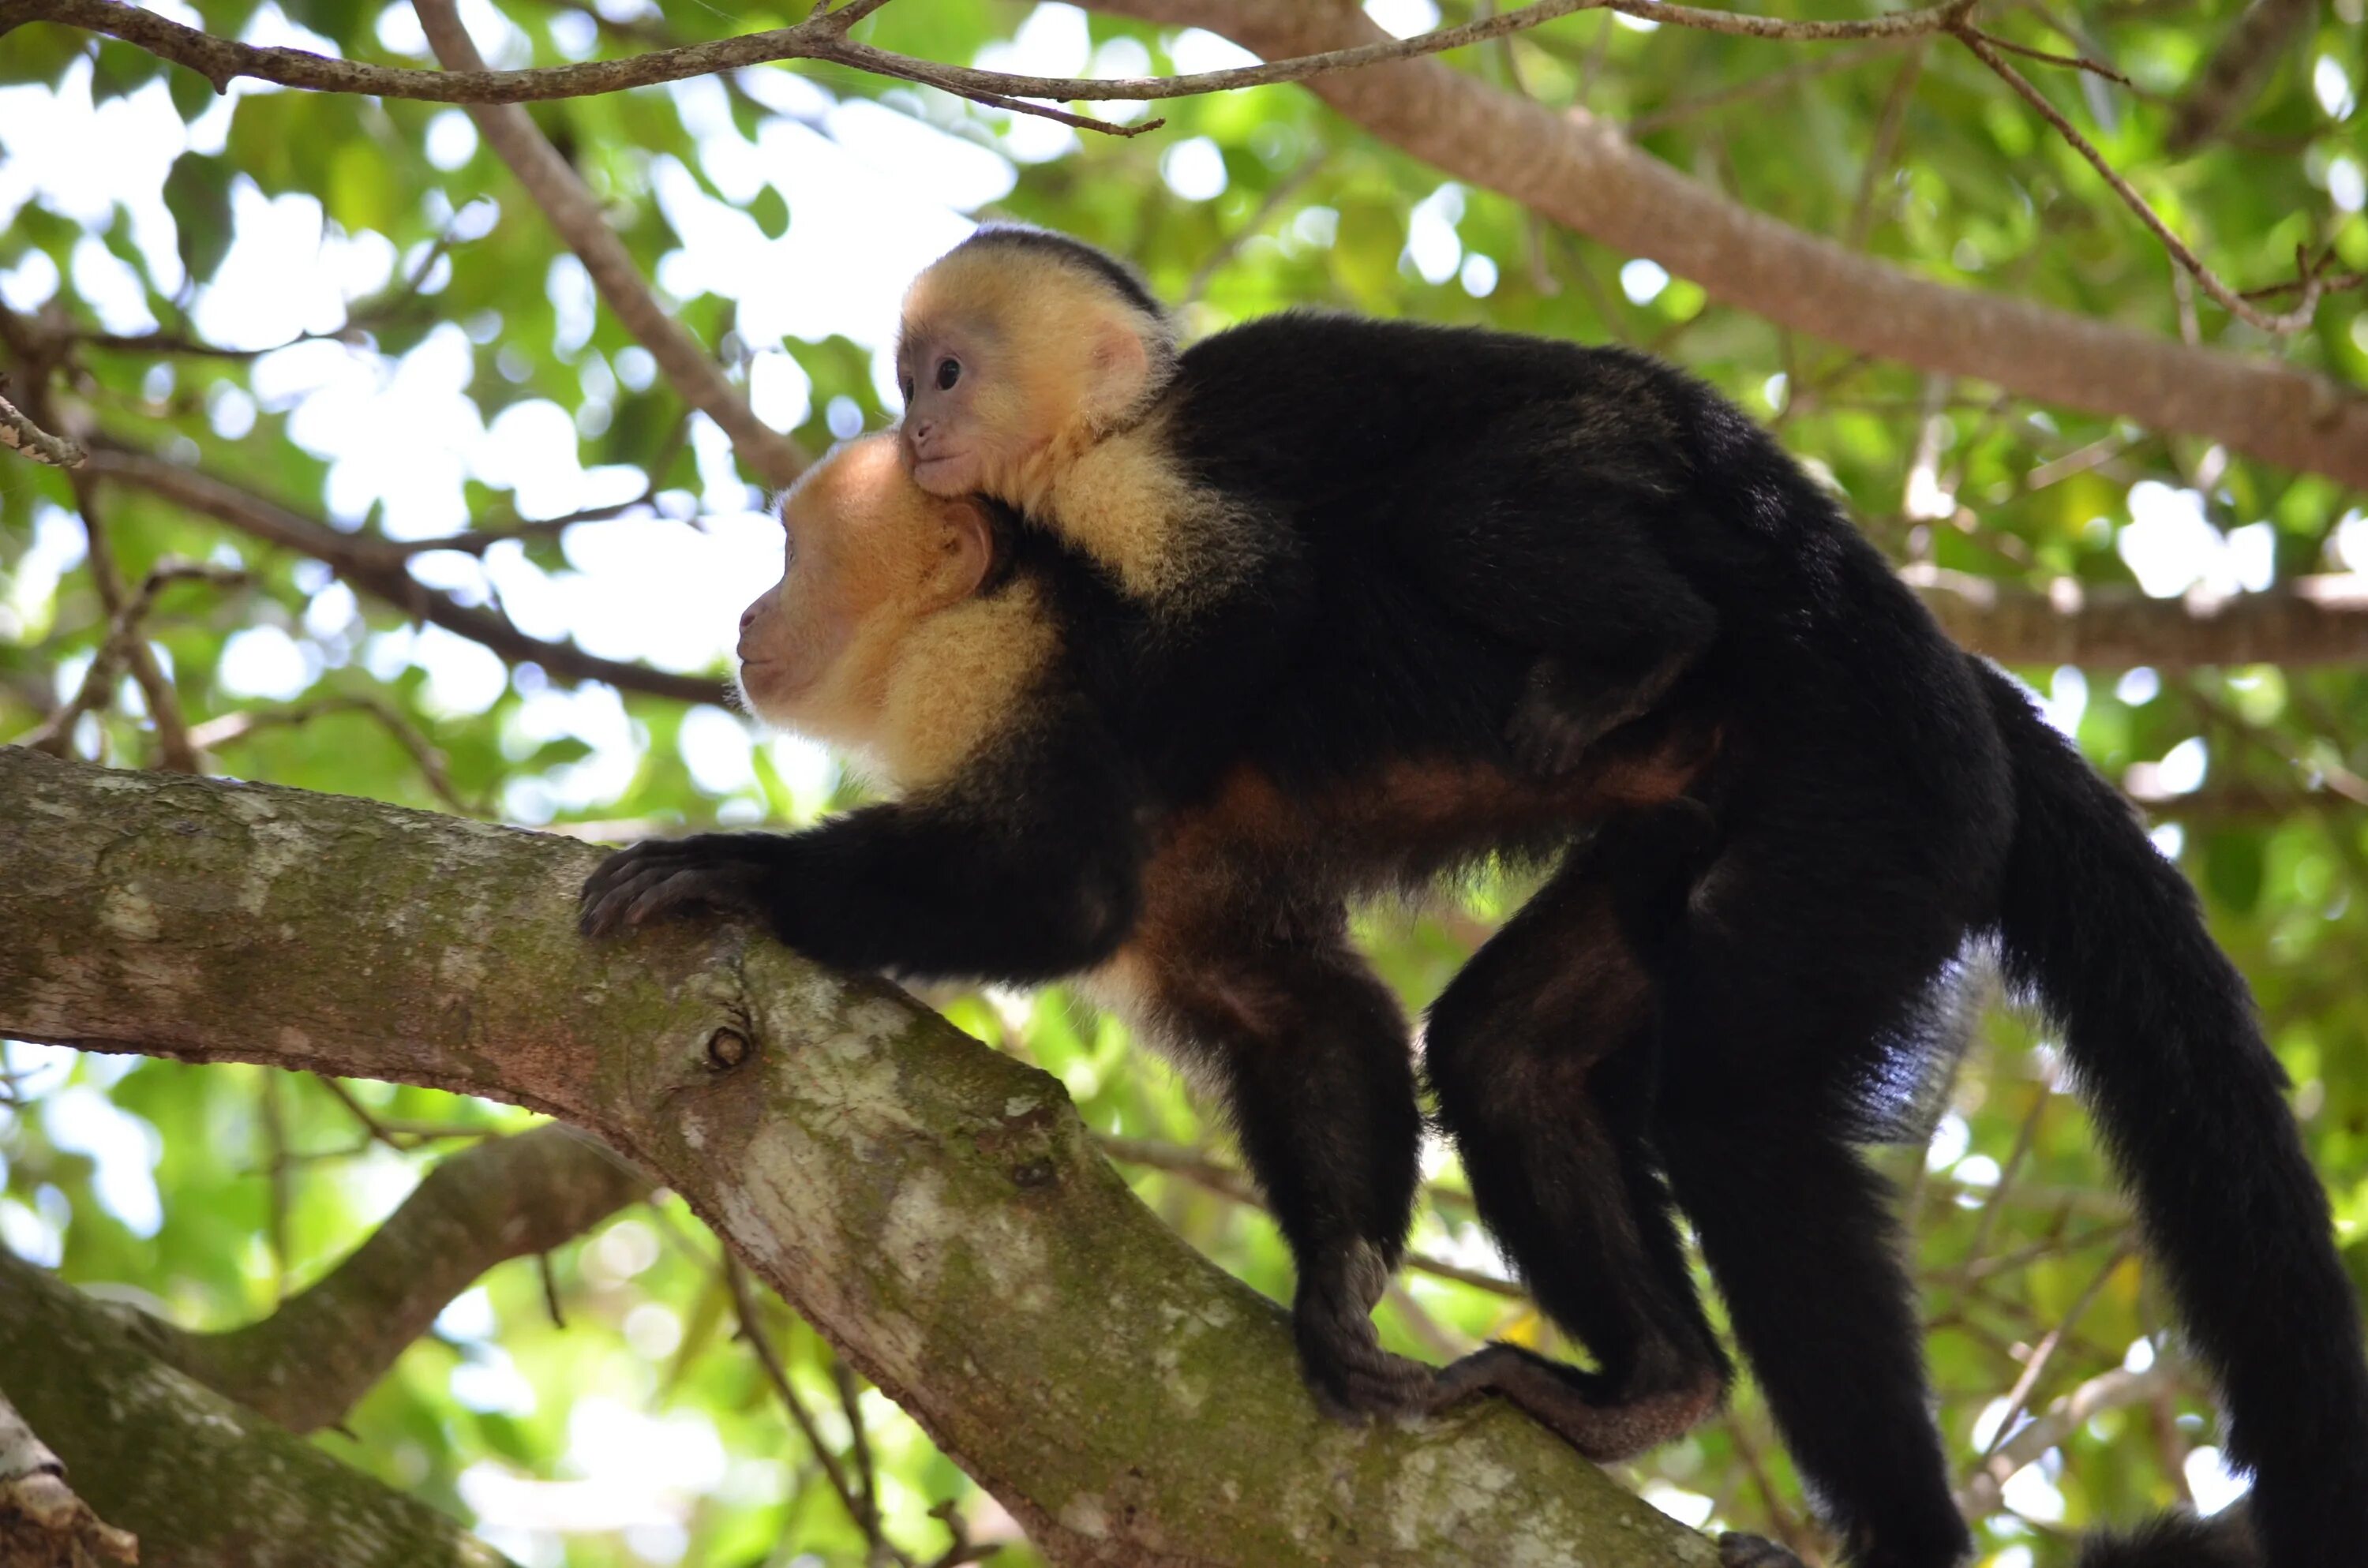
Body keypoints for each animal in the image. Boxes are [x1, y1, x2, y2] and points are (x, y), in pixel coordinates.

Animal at [862, 227, 2368, 1568]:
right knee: (1510, 1050)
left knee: (1728, 1100)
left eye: (946, 372)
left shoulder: (1145, 480)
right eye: (908, 375)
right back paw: (1653, 1385)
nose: (914, 426)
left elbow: (1250, 597)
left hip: (1876, 787)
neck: (1103, 437)